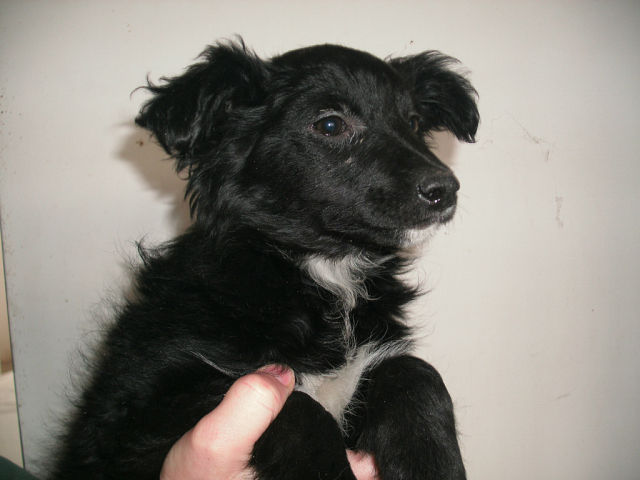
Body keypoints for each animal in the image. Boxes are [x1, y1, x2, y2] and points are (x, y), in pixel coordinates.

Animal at [51, 39, 478, 479]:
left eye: (412, 122)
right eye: (330, 125)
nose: (446, 190)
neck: (323, 270)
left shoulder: (373, 359)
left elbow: (416, 371)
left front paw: (432, 463)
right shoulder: (139, 411)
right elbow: (297, 405)